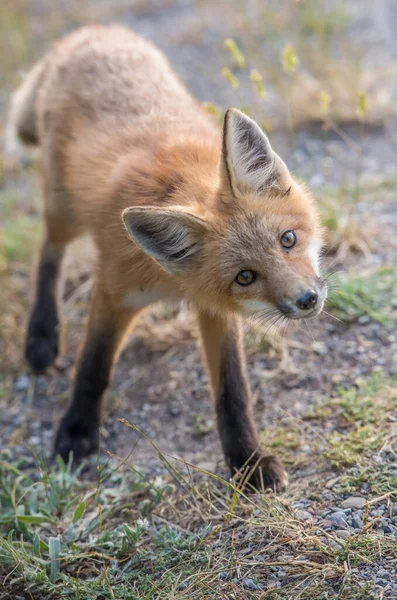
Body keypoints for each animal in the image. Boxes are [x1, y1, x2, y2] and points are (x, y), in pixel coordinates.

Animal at [8, 24, 324, 492]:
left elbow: (232, 390)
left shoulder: (215, 310)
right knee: (48, 253)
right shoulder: (115, 290)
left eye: (288, 239)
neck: (173, 281)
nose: (308, 300)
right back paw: (42, 334)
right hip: (64, 210)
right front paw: (77, 430)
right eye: (246, 276)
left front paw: (246, 460)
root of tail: (92, 32)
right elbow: (94, 366)